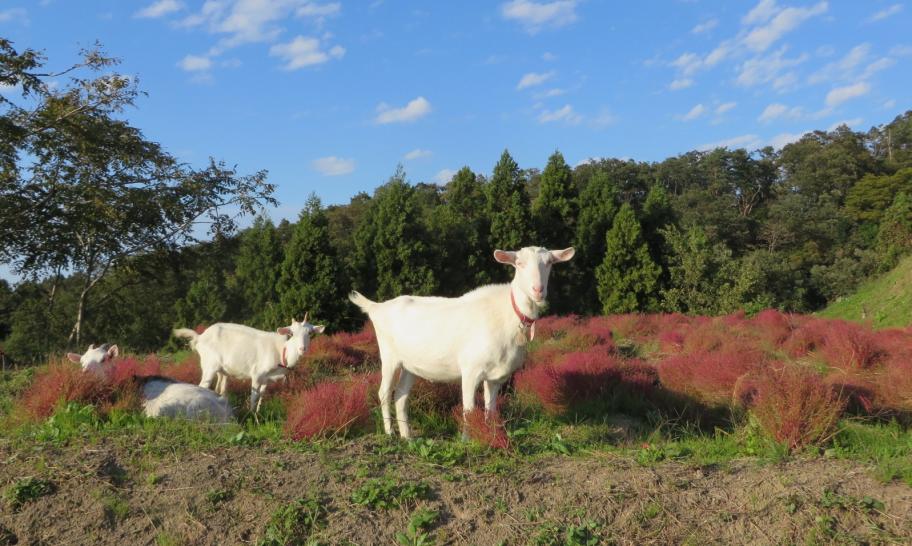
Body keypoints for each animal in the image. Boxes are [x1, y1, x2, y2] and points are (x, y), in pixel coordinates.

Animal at [173, 314, 326, 412]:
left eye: (310, 333)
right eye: (291, 333)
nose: (302, 349)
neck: (281, 351)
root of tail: (200, 337)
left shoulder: (267, 379)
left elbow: (262, 396)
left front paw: (258, 412)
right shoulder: (257, 374)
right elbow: (254, 396)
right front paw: (251, 415)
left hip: (222, 370)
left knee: (220, 389)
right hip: (209, 365)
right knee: (202, 386)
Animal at [346, 245, 572, 438]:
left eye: (549, 262)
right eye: (519, 263)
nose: (538, 290)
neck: (507, 314)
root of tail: (377, 308)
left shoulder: (496, 377)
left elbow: (491, 408)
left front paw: (490, 436)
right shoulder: (471, 370)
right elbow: (469, 409)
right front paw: (466, 440)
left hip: (410, 364)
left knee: (401, 394)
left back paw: (407, 436)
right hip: (389, 356)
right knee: (384, 392)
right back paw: (389, 433)